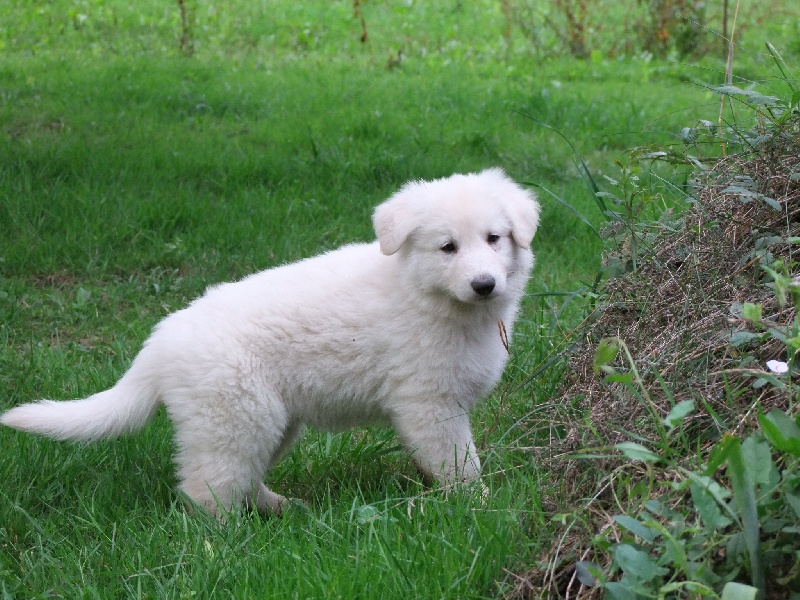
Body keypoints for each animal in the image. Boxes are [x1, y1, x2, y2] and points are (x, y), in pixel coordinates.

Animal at [3, 169, 540, 516]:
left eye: (494, 238)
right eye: (448, 248)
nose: (484, 284)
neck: (427, 295)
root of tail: (159, 342)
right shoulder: (430, 405)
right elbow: (460, 464)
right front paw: (481, 507)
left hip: (272, 421)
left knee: (243, 478)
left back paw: (282, 508)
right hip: (235, 417)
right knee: (206, 489)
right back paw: (221, 545)